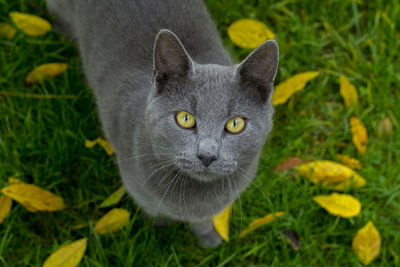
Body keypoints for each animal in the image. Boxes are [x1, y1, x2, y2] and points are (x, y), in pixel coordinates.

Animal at [47, 0, 278, 249]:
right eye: (185, 118)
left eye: (235, 124)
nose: (207, 155)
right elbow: (153, 210)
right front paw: (157, 229)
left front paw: (208, 238)